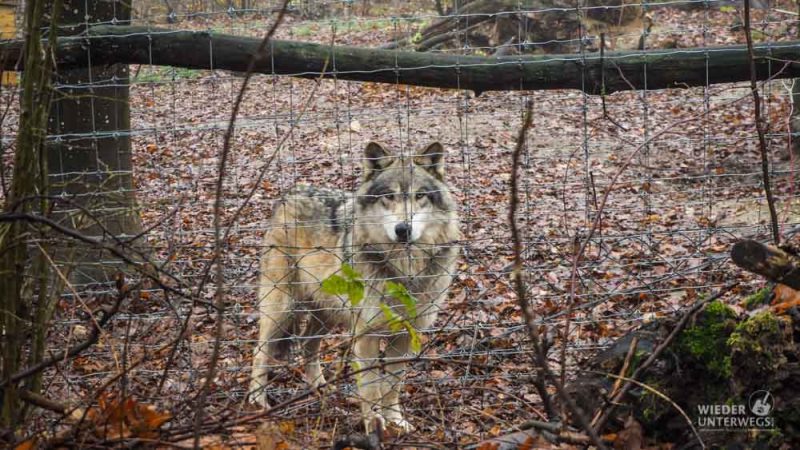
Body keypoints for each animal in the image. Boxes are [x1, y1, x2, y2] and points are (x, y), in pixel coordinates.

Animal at [250, 142, 462, 430]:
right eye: (389, 196)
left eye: (420, 196)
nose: (403, 229)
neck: (403, 269)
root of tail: (290, 193)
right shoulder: (366, 335)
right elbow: (371, 387)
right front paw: (374, 424)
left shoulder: (405, 335)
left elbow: (393, 384)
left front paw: (395, 421)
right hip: (282, 310)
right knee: (259, 352)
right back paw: (257, 402)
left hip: (326, 314)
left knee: (307, 345)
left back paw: (321, 389)